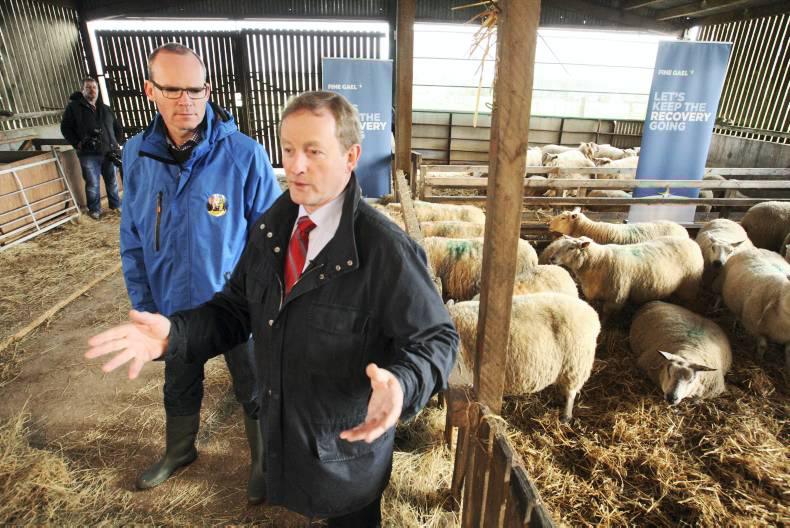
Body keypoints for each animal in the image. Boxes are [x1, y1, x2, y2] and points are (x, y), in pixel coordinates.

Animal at [546, 235, 704, 317]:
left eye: (571, 247)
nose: (552, 258)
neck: (598, 261)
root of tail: (691, 241)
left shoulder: (615, 298)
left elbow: (606, 316)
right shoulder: (593, 293)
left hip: (689, 285)